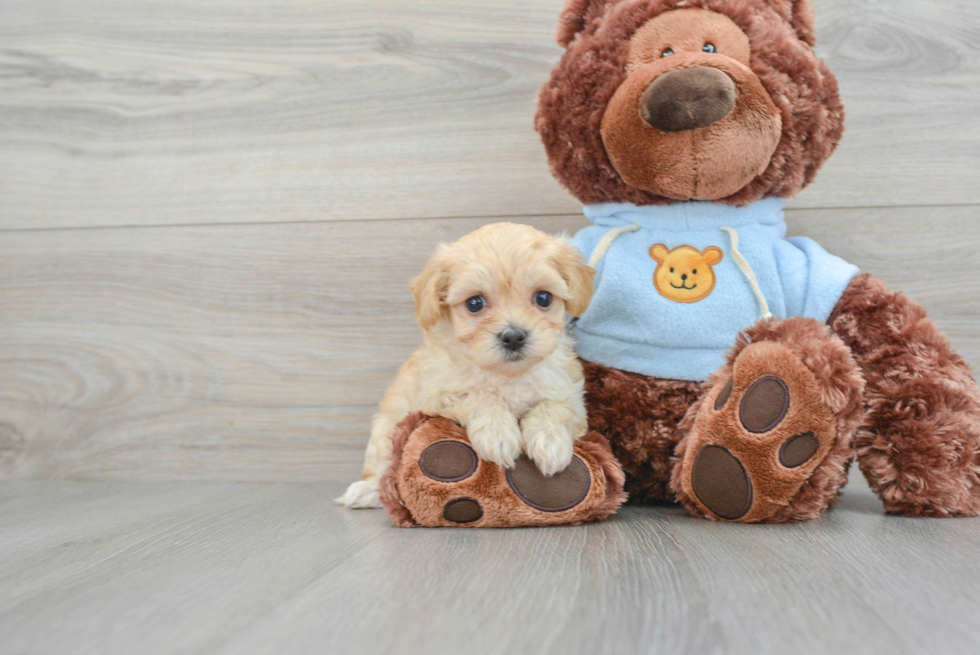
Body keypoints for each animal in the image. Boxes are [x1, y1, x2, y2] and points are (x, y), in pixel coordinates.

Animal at [336, 223, 596, 510]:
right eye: (474, 303)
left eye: (543, 298)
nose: (513, 336)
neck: (506, 375)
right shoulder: (437, 393)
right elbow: (478, 395)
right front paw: (498, 434)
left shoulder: (571, 398)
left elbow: (551, 407)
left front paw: (550, 443)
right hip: (386, 429)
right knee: (382, 466)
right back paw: (367, 491)